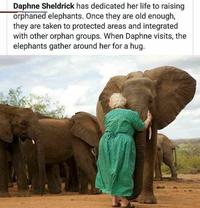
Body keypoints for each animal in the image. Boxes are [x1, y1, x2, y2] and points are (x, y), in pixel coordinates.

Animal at [96, 66, 196, 203]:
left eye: (151, 101)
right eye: (126, 103)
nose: (132, 197)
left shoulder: (158, 111)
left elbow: (150, 148)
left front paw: (147, 201)